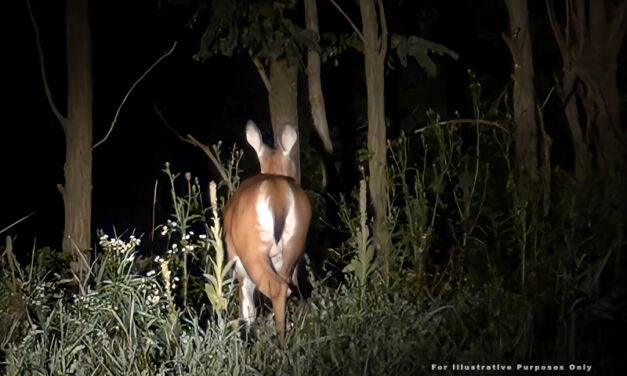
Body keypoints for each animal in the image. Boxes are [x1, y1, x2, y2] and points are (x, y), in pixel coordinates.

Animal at [226, 120, 314, 340]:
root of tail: (277, 195)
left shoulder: (239, 265)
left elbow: (247, 305)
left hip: (252, 250)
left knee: (275, 287)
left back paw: (280, 341)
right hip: (294, 243)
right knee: (290, 286)